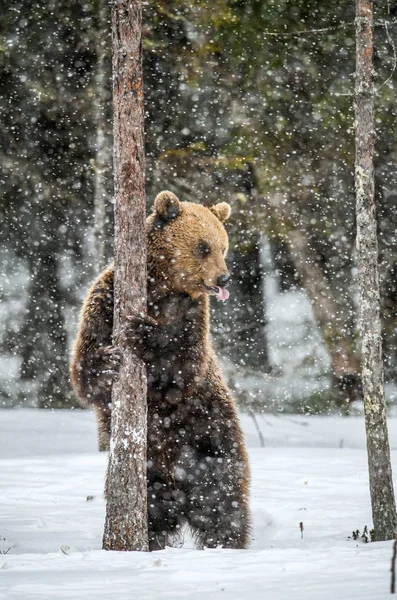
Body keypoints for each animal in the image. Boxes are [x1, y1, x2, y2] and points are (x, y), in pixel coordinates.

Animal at [69, 195, 249, 552]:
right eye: (203, 246)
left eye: (223, 246)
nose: (223, 279)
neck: (161, 289)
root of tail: (179, 489)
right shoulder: (105, 301)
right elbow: (84, 368)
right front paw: (108, 361)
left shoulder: (193, 318)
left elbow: (182, 368)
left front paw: (144, 333)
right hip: (151, 473)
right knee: (153, 514)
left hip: (211, 437)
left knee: (223, 503)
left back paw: (227, 545)